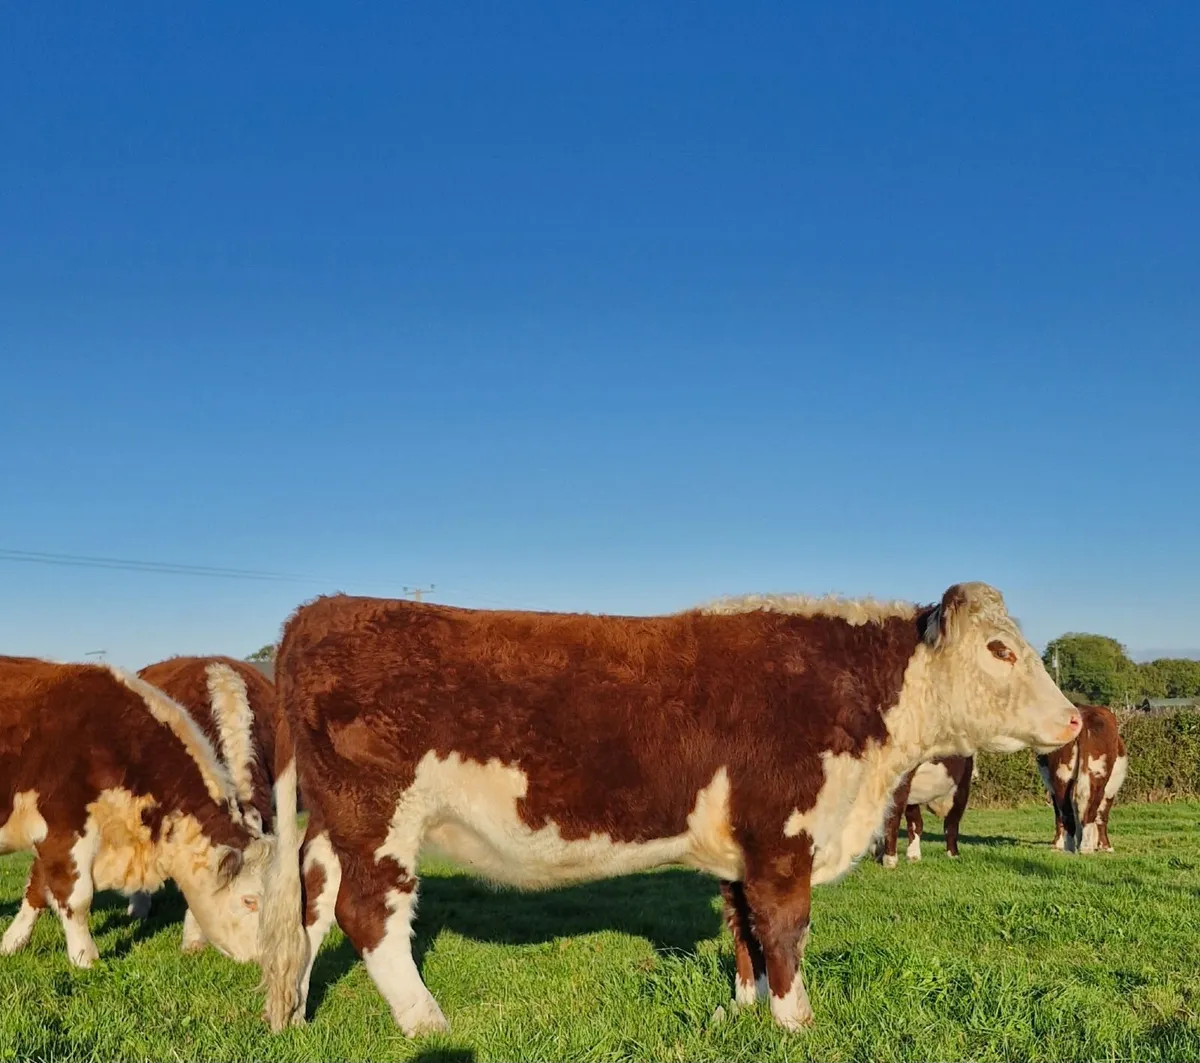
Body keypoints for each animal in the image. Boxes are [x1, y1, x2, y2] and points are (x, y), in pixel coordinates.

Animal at [0, 656, 272, 966]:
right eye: (249, 901)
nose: (262, 958)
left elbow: (37, 886)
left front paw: (11, 943)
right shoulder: (64, 828)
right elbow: (76, 897)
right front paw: (86, 960)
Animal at [257, 582, 1081, 1036]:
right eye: (1001, 649)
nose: (1074, 719)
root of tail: (318, 611)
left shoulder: (742, 844)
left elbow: (744, 927)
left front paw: (743, 1011)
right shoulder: (783, 832)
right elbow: (785, 926)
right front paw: (797, 1022)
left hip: (334, 819)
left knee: (314, 898)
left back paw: (290, 1012)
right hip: (380, 814)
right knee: (370, 912)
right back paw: (427, 1022)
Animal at [1037, 704, 1128, 853]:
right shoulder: (1111, 790)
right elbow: (1102, 815)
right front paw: (1106, 847)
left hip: (1061, 778)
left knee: (1066, 811)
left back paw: (1070, 847)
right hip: (1098, 777)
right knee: (1089, 810)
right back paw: (1085, 847)